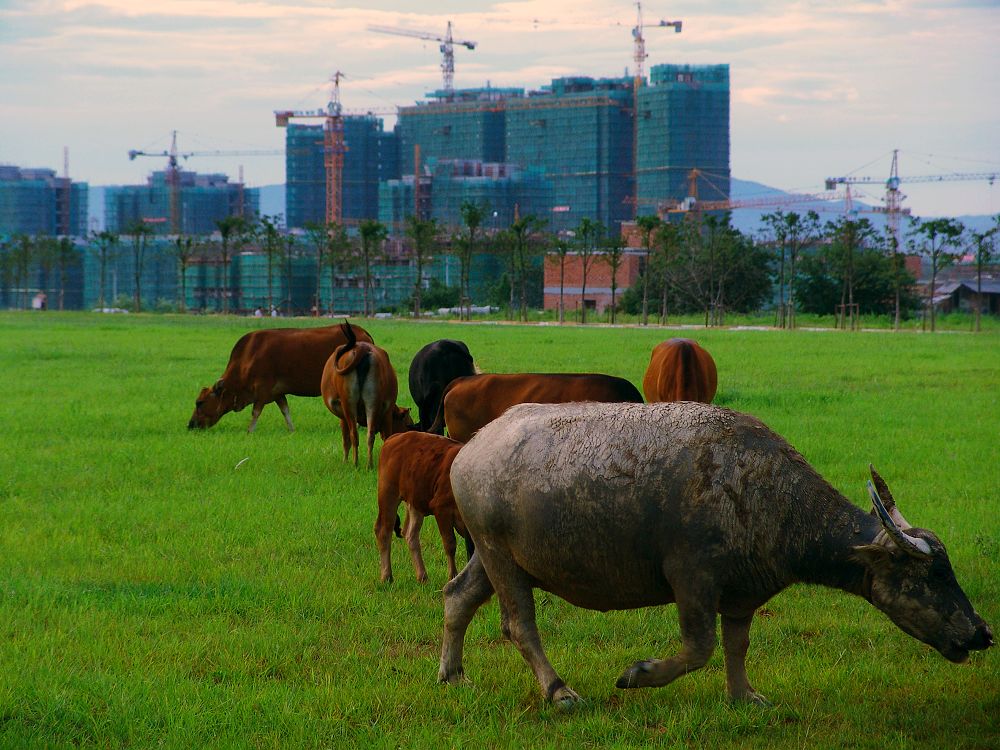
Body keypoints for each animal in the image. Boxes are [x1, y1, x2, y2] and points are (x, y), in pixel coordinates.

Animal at [189, 324, 374, 434]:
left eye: (200, 403)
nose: (190, 425)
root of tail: (362, 332)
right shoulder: (277, 393)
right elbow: (285, 411)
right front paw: (292, 430)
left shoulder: (262, 389)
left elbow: (256, 412)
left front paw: (249, 431)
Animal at [376, 432, 472, 584]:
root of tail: (396, 437)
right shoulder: (441, 508)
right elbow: (450, 543)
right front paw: (453, 576)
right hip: (388, 493)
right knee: (383, 531)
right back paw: (387, 576)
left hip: (415, 501)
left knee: (410, 534)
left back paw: (422, 576)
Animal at [442, 402, 996, 708]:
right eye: (931, 577)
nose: (981, 633)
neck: (768, 496)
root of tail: (471, 448)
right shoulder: (692, 580)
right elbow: (700, 647)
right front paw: (639, 675)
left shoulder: (743, 593)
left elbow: (736, 646)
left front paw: (744, 696)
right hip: (498, 555)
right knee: (519, 625)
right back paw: (559, 692)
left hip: (493, 557)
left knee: (456, 596)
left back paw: (452, 674)